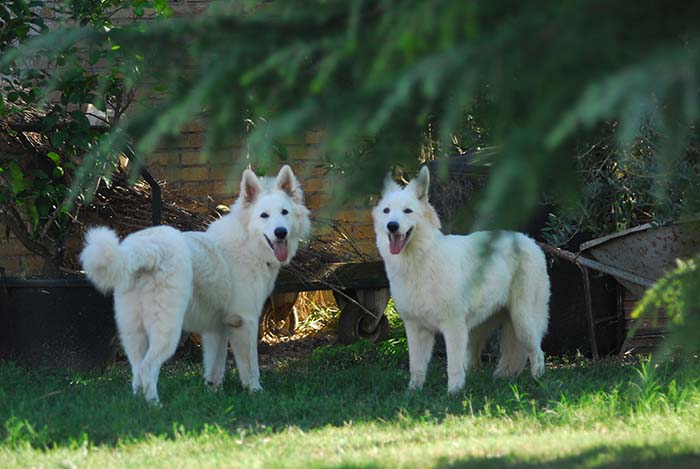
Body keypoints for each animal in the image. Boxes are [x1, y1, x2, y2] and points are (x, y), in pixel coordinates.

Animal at [81, 165, 308, 402]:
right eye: (264, 216)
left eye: (284, 212)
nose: (280, 232)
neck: (248, 243)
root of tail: (145, 249)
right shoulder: (245, 322)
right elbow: (250, 368)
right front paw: (256, 393)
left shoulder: (218, 328)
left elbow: (215, 367)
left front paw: (213, 393)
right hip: (168, 331)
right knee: (147, 369)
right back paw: (154, 405)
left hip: (133, 333)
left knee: (136, 371)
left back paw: (137, 403)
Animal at [374, 166, 548, 394]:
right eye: (386, 211)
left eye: (407, 211)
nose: (392, 226)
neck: (419, 262)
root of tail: (529, 240)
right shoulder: (415, 328)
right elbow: (416, 366)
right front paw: (413, 392)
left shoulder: (453, 326)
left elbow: (453, 366)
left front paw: (454, 393)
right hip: (478, 328)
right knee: (476, 358)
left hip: (522, 321)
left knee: (537, 352)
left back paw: (537, 380)